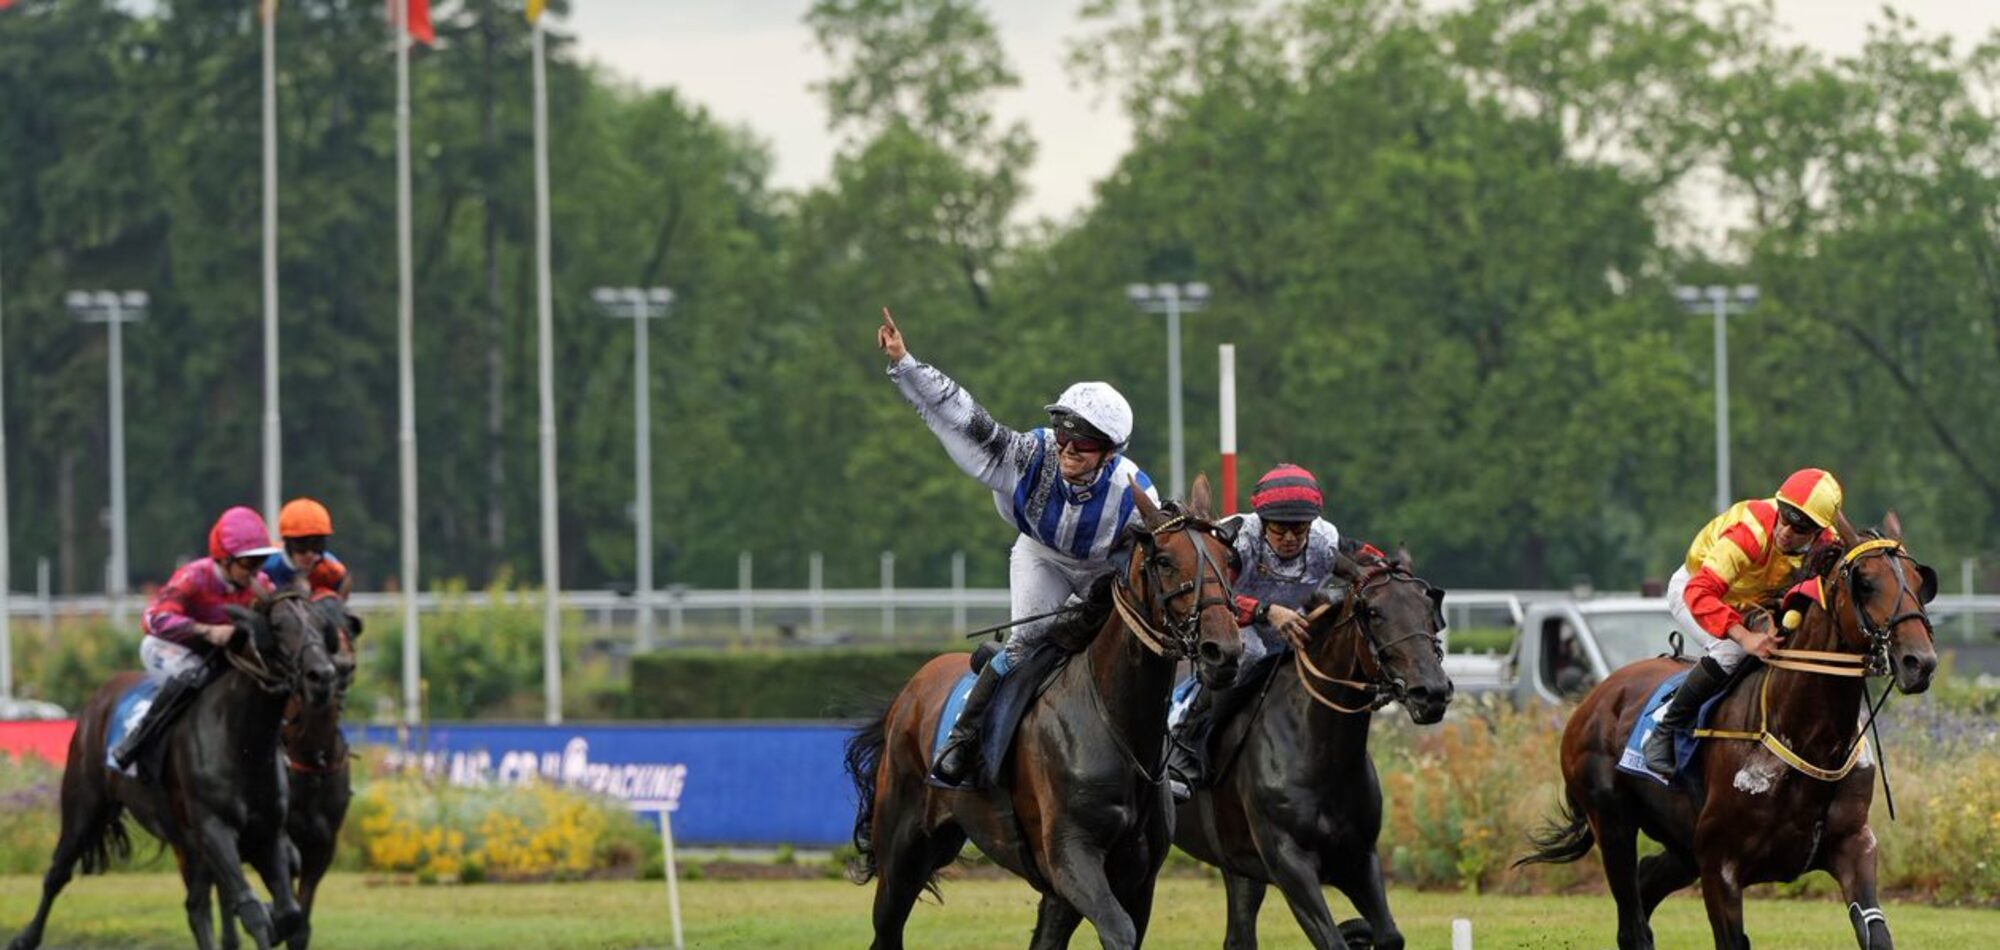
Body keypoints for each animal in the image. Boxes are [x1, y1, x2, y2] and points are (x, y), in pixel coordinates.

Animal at [8, 588, 340, 950]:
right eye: (278, 625)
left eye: (321, 625)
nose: (322, 676)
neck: (241, 740)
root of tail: (99, 697)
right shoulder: (213, 827)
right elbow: (251, 908)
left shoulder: (268, 832)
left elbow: (287, 912)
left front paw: (274, 919)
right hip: (85, 806)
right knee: (57, 872)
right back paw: (24, 938)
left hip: (185, 841)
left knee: (196, 906)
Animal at [848, 480, 1248, 948]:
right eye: (1165, 560)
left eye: (1229, 561)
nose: (1223, 651)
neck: (1114, 722)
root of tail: (909, 691)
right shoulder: (1071, 855)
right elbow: (1118, 930)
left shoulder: (1135, 877)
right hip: (903, 853)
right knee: (887, 927)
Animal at [1168, 552, 1456, 950]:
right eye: (1373, 612)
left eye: (1429, 608)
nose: (1430, 692)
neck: (1320, 752)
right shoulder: (1290, 864)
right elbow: (1333, 940)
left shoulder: (1359, 859)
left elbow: (1389, 936)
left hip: (1239, 868)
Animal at [1512, 532, 1936, 948]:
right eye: (1865, 583)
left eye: (1920, 583)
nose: (1920, 663)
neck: (1804, 740)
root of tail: (1592, 699)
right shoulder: (1720, 865)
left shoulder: (1853, 846)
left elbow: (1875, 932)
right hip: (1613, 823)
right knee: (1633, 925)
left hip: (1681, 845)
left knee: (1646, 883)